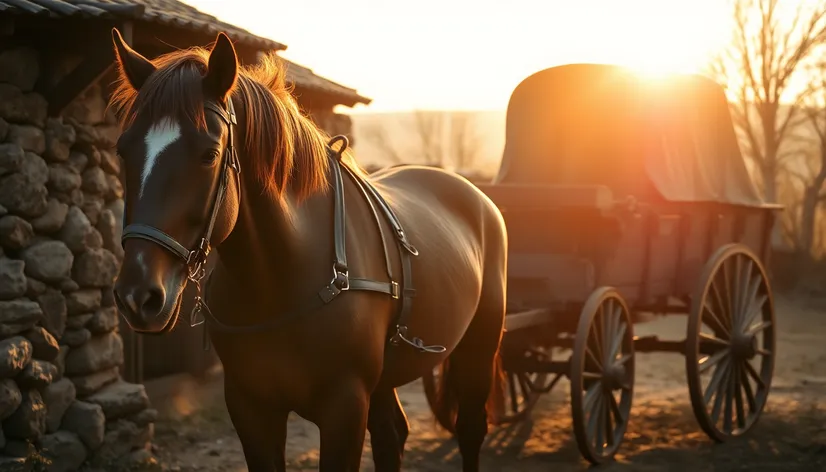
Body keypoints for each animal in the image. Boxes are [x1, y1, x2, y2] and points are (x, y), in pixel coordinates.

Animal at [109, 29, 508, 472]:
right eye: (123, 150)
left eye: (209, 154)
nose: (138, 295)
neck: (281, 281)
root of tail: (476, 196)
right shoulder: (251, 410)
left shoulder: (344, 410)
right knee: (392, 434)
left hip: (478, 347)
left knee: (470, 428)